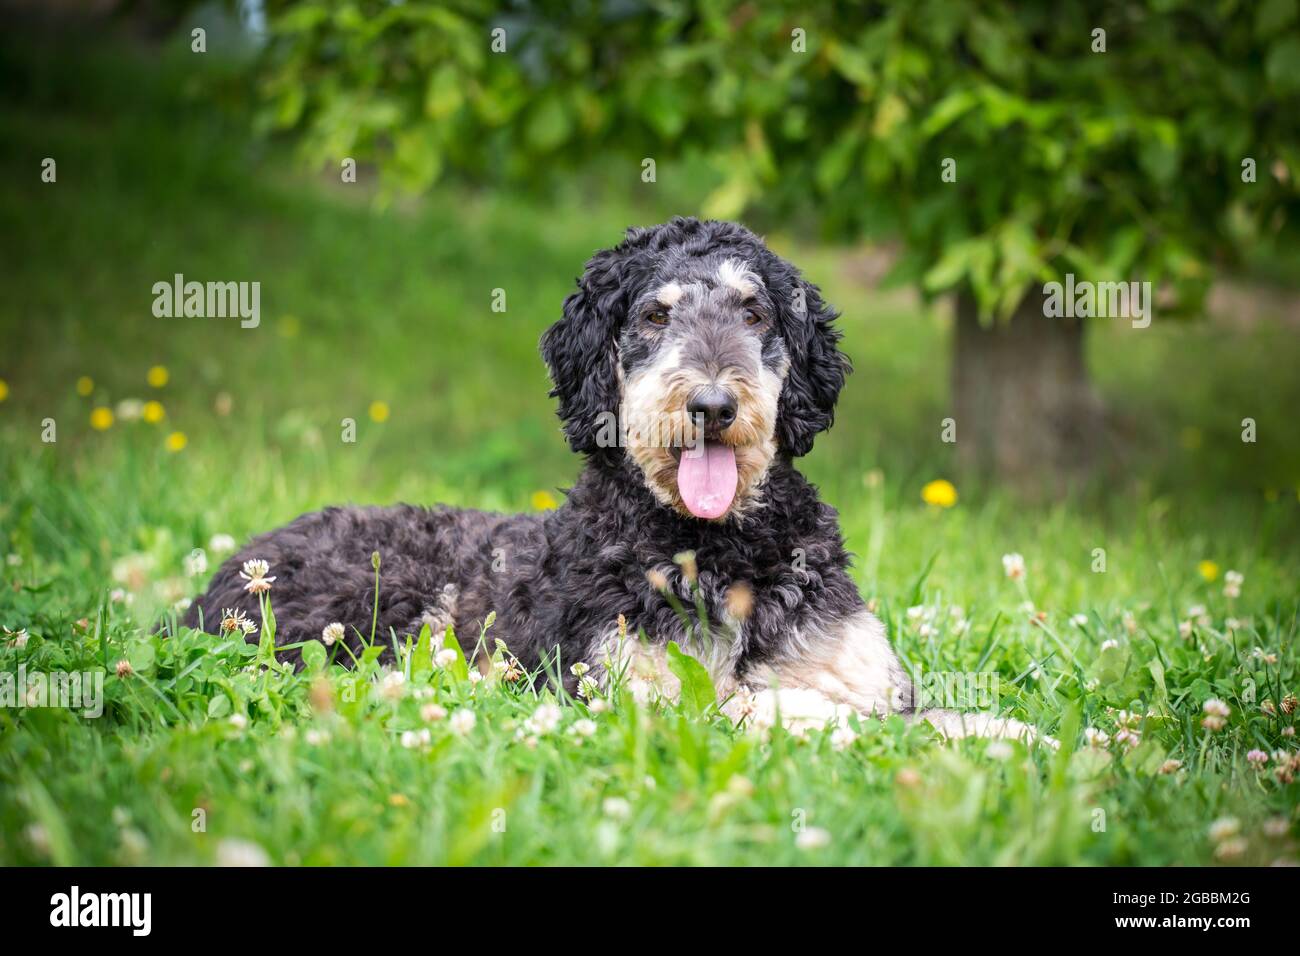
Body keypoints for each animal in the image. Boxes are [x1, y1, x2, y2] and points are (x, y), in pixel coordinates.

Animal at [183, 218, 1040, 749]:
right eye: (655, 316)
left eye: (756, 311)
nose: (713, 406)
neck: (718, 552)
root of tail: (212, 585)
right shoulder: (639, 697)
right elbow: (780, 708)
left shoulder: (860, 673)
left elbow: (926, 714)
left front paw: (1021, 740)